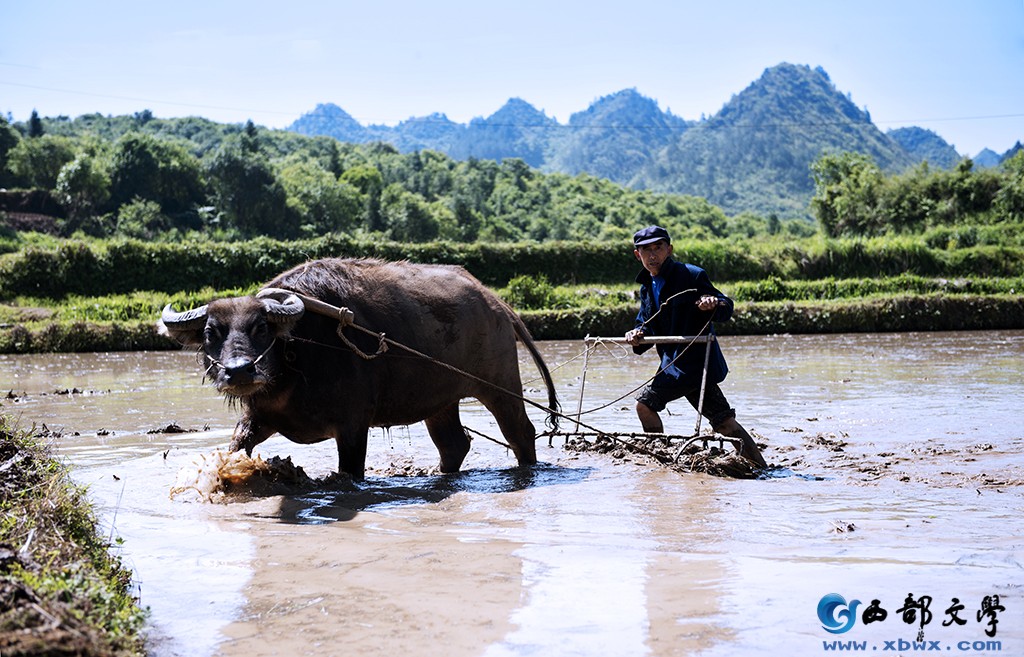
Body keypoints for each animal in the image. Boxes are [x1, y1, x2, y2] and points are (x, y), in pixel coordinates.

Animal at [161, 257, 561, 478]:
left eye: (261, 327)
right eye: (211, 333)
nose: (240, 371)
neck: (297, 360)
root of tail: (498, 304)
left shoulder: (353, 424)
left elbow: (350, 470)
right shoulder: (257, 417)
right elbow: (236, 446)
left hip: (500, 384)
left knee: (521, 432)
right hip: (441, 401)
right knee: (454, 444)